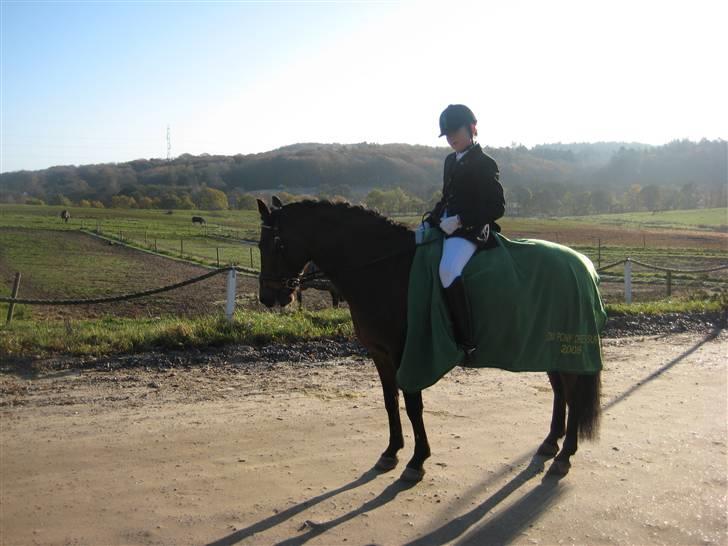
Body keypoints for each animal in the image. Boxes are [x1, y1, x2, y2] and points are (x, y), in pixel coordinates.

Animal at [256, 196, 601, 481]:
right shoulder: (380, 354)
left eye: (274, 243)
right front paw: (391, 452)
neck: (384, 266)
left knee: (572, 394)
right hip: (548, 347)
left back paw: (565, 455)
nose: (268, 298)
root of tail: (583, 264)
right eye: (259, 245)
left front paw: (416, 461)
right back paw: (550, 443)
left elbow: (413, 404)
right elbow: (390, 401)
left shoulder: (406, 352)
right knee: (561, 391)